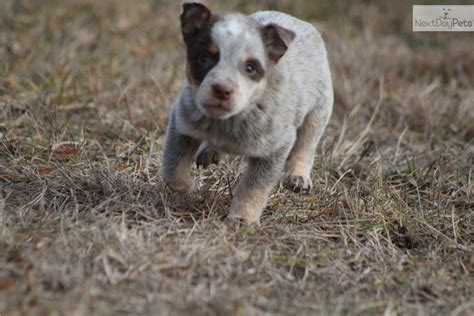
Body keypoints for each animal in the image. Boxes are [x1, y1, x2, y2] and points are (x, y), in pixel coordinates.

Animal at [161, 2, 332, 225]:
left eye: (250, 67)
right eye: (204, 58)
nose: (222, 89)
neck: (230, 120)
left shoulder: (276, 147)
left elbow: (253, 187)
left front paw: (242, 219)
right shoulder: (182, 120)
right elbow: (173, 168)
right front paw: (189, 188)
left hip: (319, 110)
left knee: (306, 144)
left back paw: (298, 177)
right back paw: (209, 150)